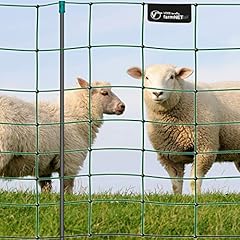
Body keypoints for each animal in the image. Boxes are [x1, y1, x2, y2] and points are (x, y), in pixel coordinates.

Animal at [126, 64, 239, 195]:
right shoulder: (169, 156)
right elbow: (176, 184)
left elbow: (194, 180)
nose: (157, 93)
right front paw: (178, 198)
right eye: (147, 77)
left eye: (172, 77)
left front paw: (196, 196)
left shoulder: (205, 148)